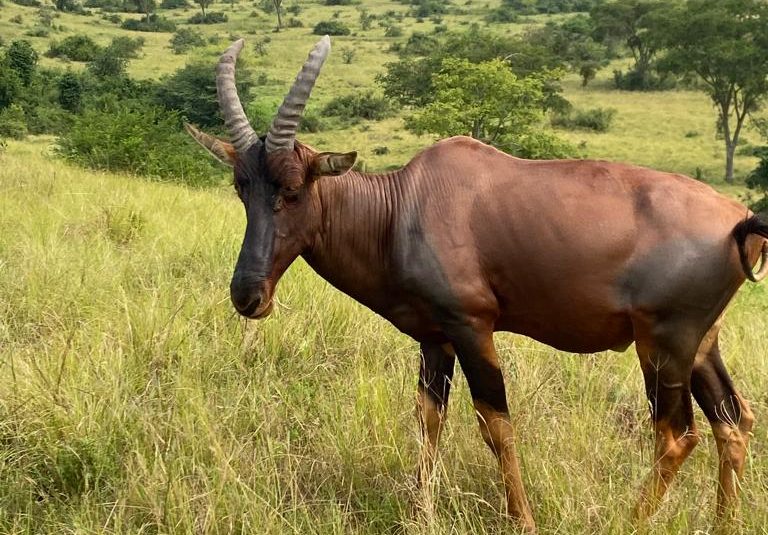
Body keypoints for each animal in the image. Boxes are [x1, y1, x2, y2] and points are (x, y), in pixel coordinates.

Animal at [186, 36, 768, 532]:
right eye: (241, 187)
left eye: (292, 189)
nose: (248, 296)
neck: (404, 204)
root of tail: (738, 220)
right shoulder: (435, 339)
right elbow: (429, 419)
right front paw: (418, 514)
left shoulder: (472, 326)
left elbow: (496, 424)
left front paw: (524, 520)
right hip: (701, 344)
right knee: (733, 421)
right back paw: (725, 522)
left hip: (663, 344)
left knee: (677, 436)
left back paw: (627, 521)